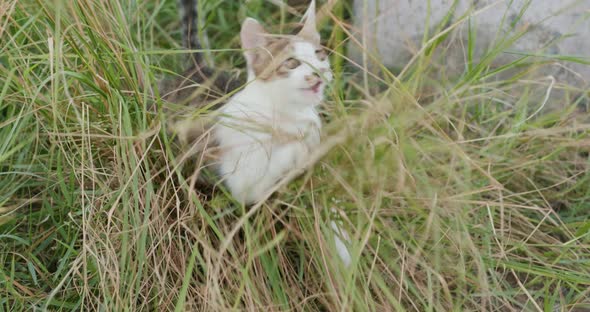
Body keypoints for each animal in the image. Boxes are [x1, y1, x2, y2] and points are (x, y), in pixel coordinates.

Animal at [215, 0, 332, 204]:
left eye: (320, 55)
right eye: (292, 62)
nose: (319, 71)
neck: (285, 111)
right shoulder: (242, 184)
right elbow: (289, 152)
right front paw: (305, 144)